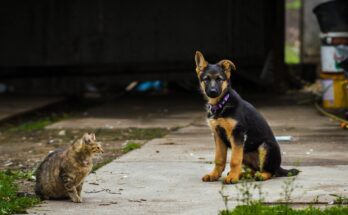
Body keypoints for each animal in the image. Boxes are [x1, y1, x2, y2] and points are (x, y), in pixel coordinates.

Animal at [196, 51, 300, 184]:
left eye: (219, 79)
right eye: (206, 79)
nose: (213, 92)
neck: (221, 104)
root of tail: (279, 166)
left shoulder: (238, 134)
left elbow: (234, 160)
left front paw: (232, 178)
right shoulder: (218, 135)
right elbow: (219, 159)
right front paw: (214, 175)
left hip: (264, 146)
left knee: (270, 171)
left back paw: (259, 176)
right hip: (244, 151)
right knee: (255, 169)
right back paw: (243, 174)